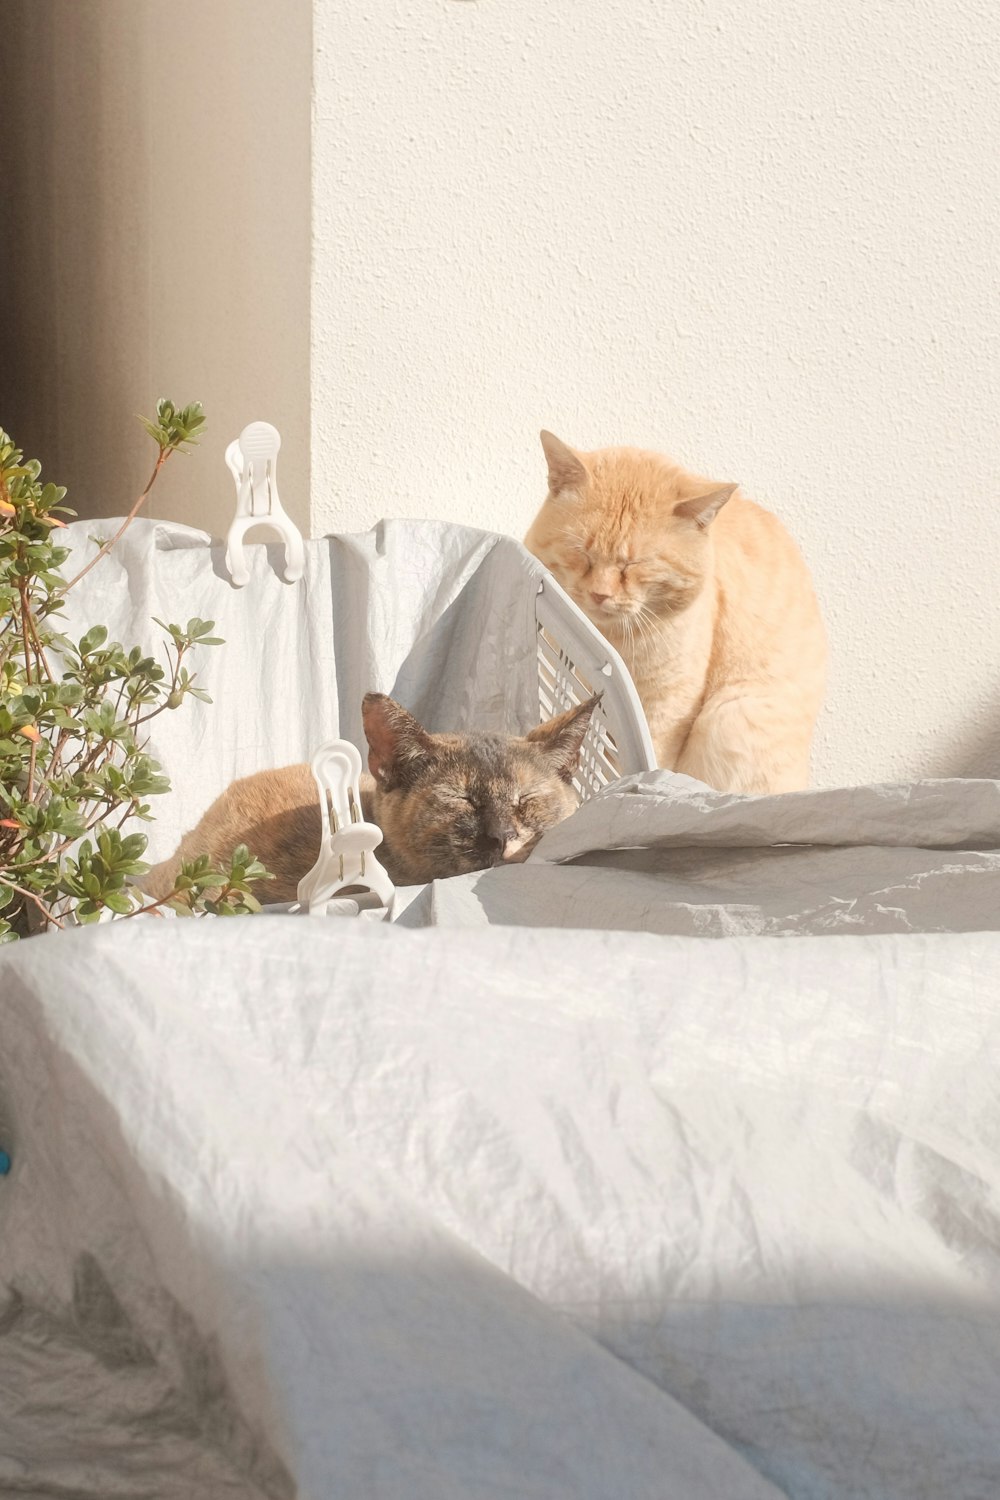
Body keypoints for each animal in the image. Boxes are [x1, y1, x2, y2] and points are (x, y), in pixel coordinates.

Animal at [524, 429, 827, 792]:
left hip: (730, 716)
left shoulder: (666, 708)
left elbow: (639, 764)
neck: (611, 639)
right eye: (582, 553)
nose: (600, 594)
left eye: (634, 565)